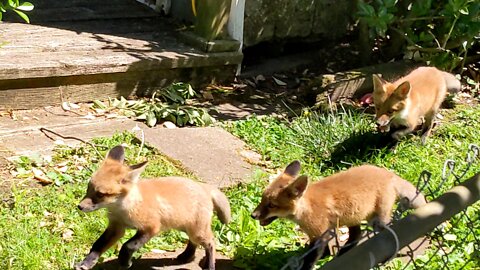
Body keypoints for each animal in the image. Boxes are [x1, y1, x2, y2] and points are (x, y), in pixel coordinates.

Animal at [75, 146, 231, 270]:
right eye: (88, 188)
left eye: (101, 194)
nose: (80, 207)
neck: (122, 210)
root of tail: (204, 186)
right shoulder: (116, 227)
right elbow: (97, 245)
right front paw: (87, 263)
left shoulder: (151, 227)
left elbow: (128, 246)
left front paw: (125, 262)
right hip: (186, 227)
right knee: (193, 243)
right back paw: (186, 256)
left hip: (197, 231)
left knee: (211, 243)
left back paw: (209, 266)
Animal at [249, 161, 426, 268]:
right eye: (262, 199)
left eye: (272, 205)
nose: (253, 215)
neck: (305, 210)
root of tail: (388, 173)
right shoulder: (321, 233)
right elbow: (323, 251)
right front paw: (324, 257)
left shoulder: (319, 234)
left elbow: (312, 257)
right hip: (353, 217)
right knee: (356, 235)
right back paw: (343, 254)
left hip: (377, 220)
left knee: (387, 231)